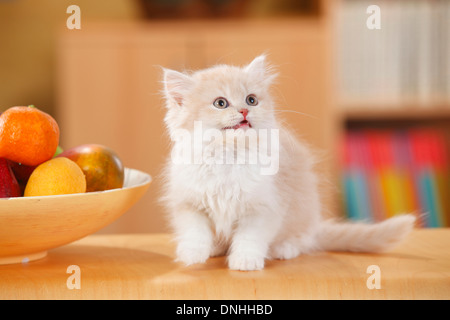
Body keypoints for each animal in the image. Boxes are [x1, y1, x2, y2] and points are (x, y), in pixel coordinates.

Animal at [160, 55, 416, 270]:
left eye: (251, 100)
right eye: (220, 103)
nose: (244, 111)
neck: (229, 155)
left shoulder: (264, 206)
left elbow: (250, 238)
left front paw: (245, 260)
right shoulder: (190, 204)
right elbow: (195, 233)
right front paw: (193, 255)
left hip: (304, 212)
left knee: (302, 240)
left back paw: (283, 249)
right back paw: (216, 247)